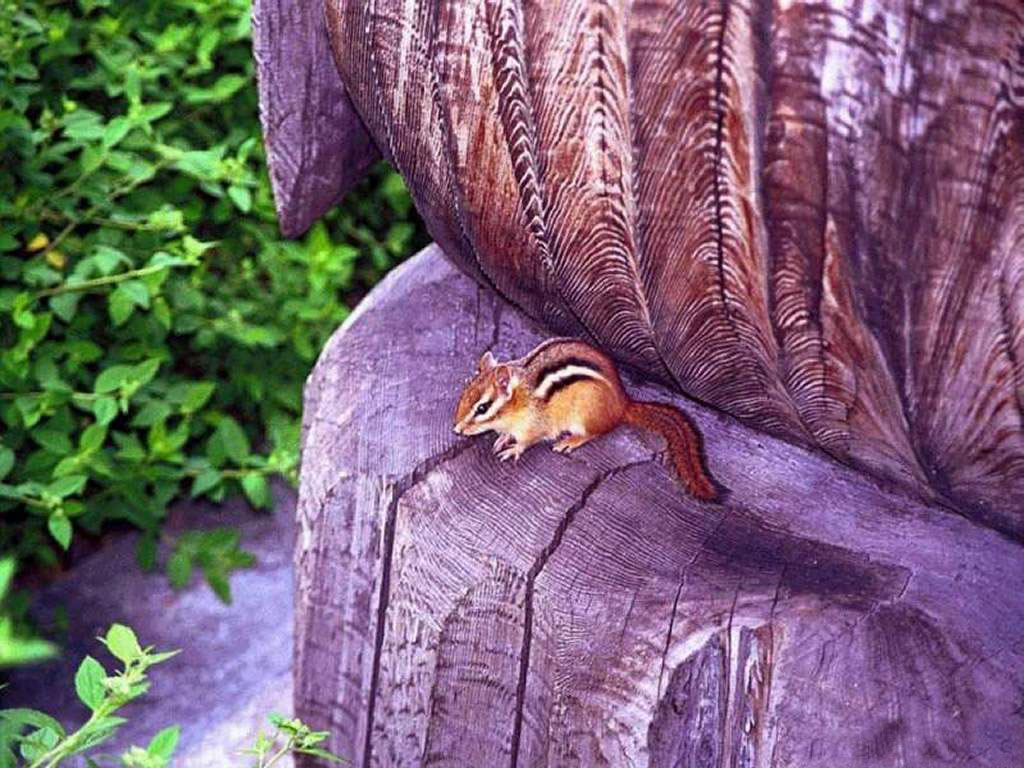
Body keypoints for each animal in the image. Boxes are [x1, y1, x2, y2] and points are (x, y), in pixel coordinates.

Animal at [453, 337, 719, 501]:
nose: (456, 430)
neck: (519, 399)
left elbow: (527, 441)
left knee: (595, 433)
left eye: (482, 407)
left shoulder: (534, 424)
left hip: (585, 414)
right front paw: (502, 438)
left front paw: (513, 448)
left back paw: (570, 441)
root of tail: (623, 404)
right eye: (464, 392)